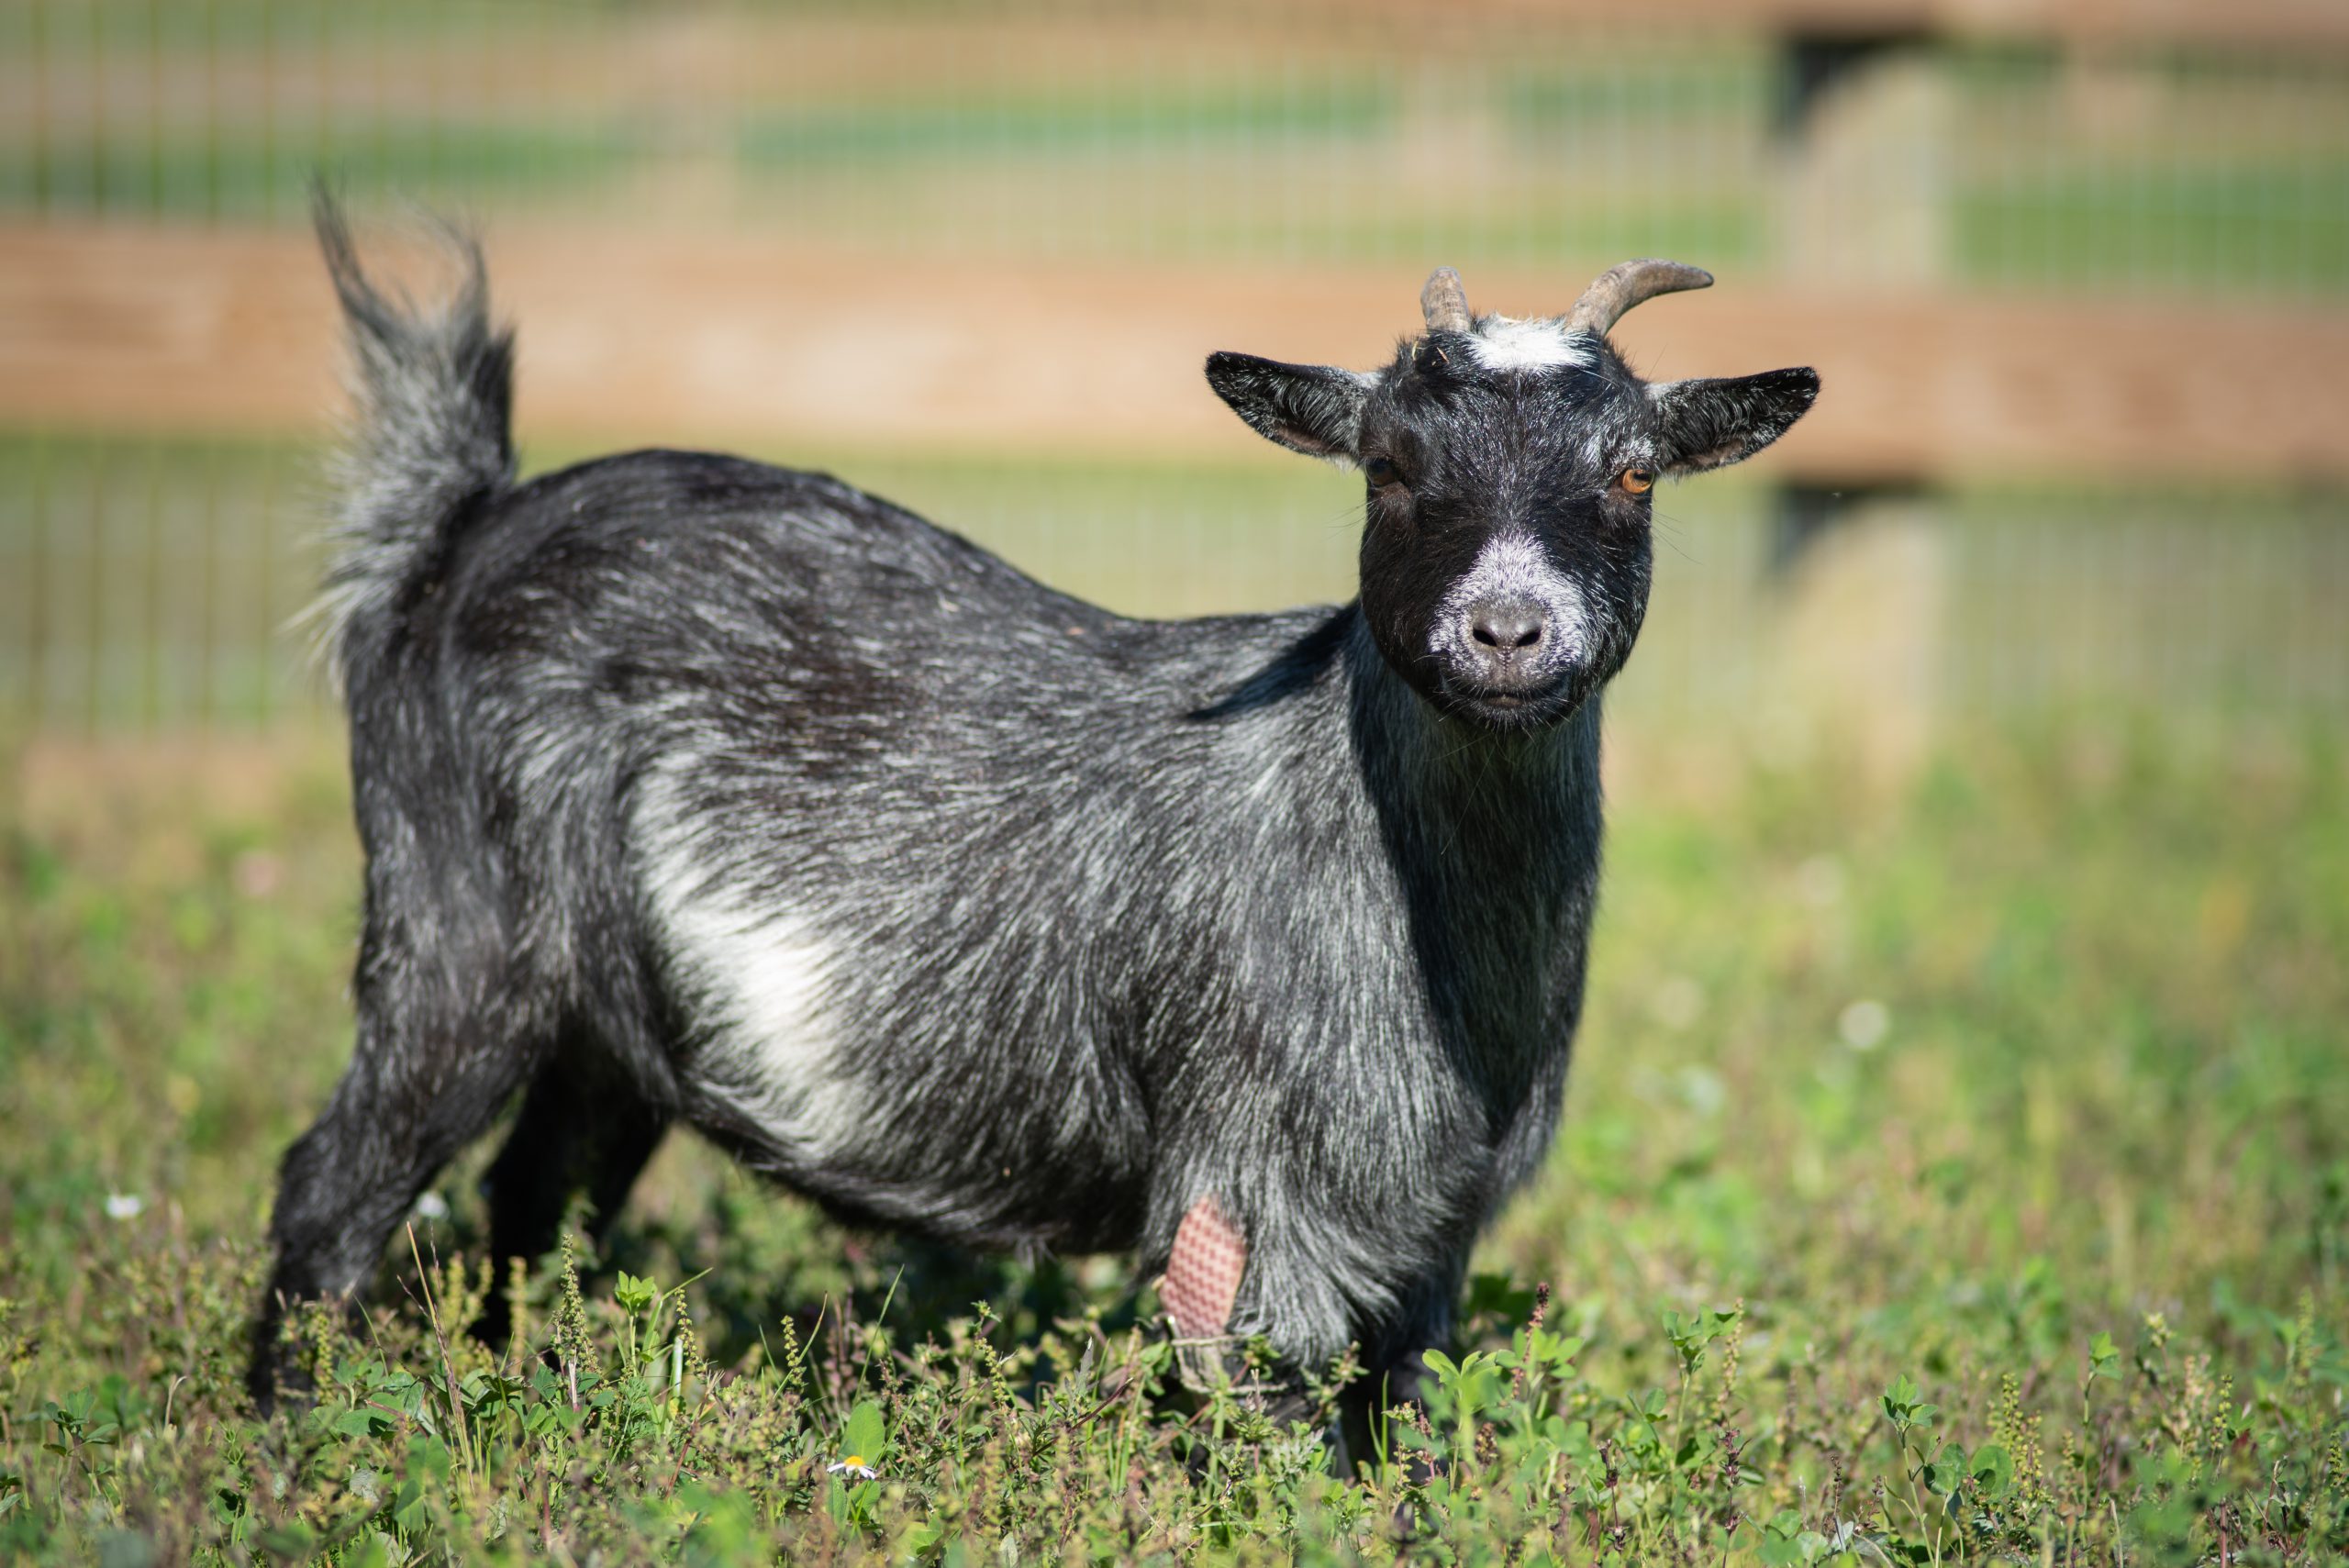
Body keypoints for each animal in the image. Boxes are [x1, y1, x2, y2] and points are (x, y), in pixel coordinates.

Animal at [252, 202, 1813, 1455]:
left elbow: (1414, 1418)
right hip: (458, 925)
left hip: (608, 1020)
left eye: (1633, 473)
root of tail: (455, 532)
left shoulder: (1432, 1213)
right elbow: (1275, 1418)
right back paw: (292, 1440)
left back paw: (514, 1395)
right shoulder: (1260, 1180)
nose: (1506, 630)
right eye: (1385, 467)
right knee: (332, 1190)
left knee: (536, 1195)